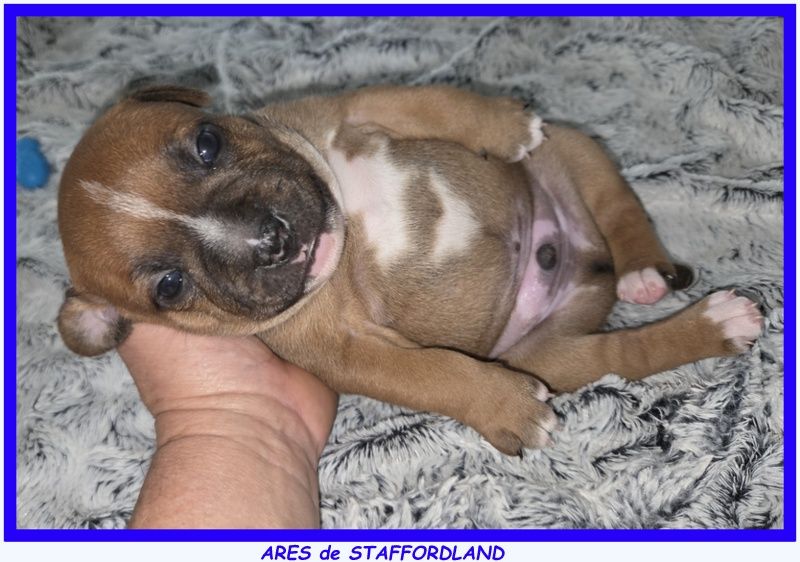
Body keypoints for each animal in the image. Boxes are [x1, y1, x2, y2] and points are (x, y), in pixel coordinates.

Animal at [56, 85, 763, 455]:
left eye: (208, 142)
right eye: (169, 287)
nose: (272, 238)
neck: (347, 223)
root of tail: (586, 265)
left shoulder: (350, 110)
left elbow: (431, 102)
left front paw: (503, 125)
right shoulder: (345, 351)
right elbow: (429, 375)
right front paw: (501, 405)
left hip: (574, 151)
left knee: (619, 206)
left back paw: (645, 269)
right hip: (555, 357)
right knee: (628, 353)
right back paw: (716, 323)